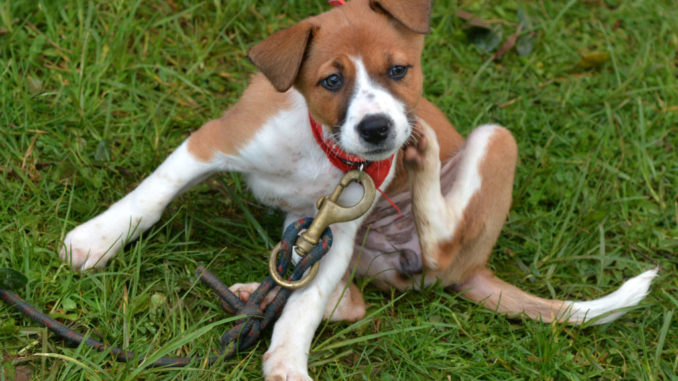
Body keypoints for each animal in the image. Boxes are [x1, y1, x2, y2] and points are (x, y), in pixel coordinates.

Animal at [59, 1, 660, 378]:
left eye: (399, 70)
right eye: (331, 80)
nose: (379, 130)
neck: (321, 148)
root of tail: (475, 269)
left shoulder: (338, 231)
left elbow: (304, 310)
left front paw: (287, 362)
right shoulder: (214, 144)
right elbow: (150, 196)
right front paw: (96, 240)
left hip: (494, 143)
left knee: (431, 245)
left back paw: (423, 157)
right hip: (323, 238)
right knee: (347, 301)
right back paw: (259, 294)